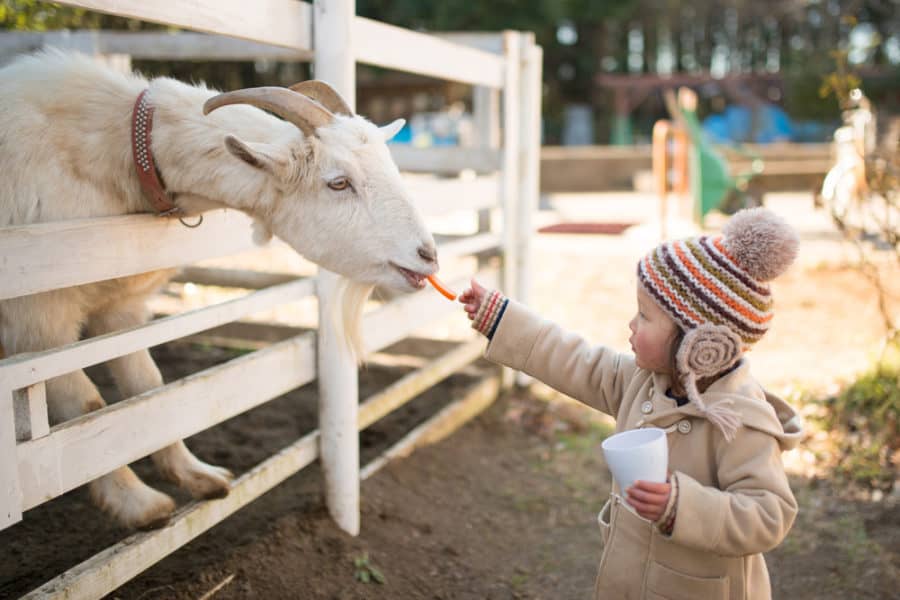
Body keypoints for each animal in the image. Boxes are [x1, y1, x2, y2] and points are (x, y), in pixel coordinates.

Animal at [0, 51, 436, 528]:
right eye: (338, 182)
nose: (428, 255)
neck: (123, 149)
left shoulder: (121, 307)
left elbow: (149, 389)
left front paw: (199, 477)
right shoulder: (39, 321)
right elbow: (86, 406)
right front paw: (139, 504)